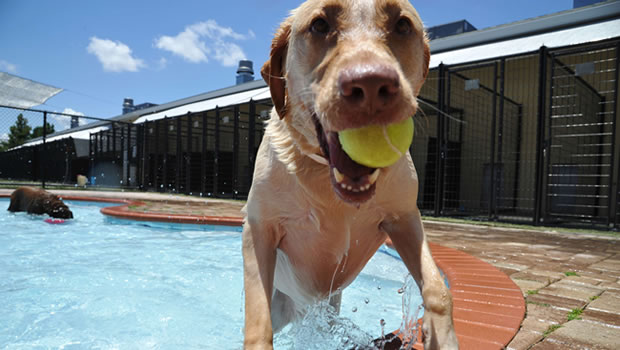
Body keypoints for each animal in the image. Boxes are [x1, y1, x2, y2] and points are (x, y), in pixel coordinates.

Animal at [245, 0, 458, 350]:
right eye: (319, 25)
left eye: (402, 25)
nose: (370, 84)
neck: (325, 177)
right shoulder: (258, 230)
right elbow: (257, 319)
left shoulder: (404, 219)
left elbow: (437, 288)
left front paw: (440, 334)